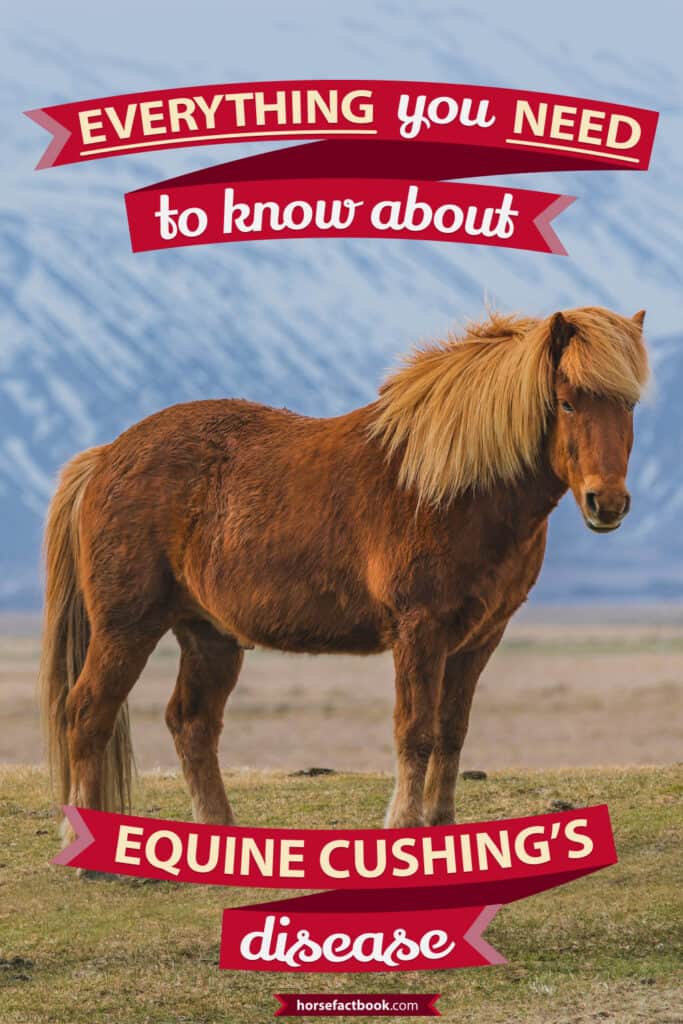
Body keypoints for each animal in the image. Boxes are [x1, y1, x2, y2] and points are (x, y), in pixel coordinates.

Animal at [39, 305, 649, 843]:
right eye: (567, 403)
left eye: (629, 406)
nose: (607, 503)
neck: (453, 487)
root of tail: (106, 455)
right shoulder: (420, 630)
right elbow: (416, 732)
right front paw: (404, 826)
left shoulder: (480, 638)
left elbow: (452, 733)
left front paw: (442, 825)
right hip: (127, 627)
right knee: (88, 712)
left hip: (209, 635)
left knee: (192, 724)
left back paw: (218, 832)